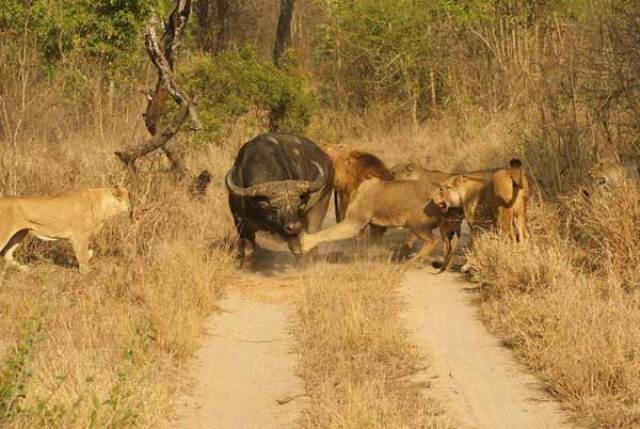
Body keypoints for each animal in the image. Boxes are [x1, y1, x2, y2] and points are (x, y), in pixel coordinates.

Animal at [0, 186, 130, 272]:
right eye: (126, 198)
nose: (130, 208)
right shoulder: (79, 237)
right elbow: (83, 259)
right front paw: (87, 276)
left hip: (20, 233)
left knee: (7, 254)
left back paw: (23, 268)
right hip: (5, 233)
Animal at [226, 132, 336, 264]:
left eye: (298, 205)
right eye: (274, 207)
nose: (294, 227)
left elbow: (296, 248)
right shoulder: (241, 221)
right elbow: (248, 249)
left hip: (321, 204)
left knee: (313, 232)